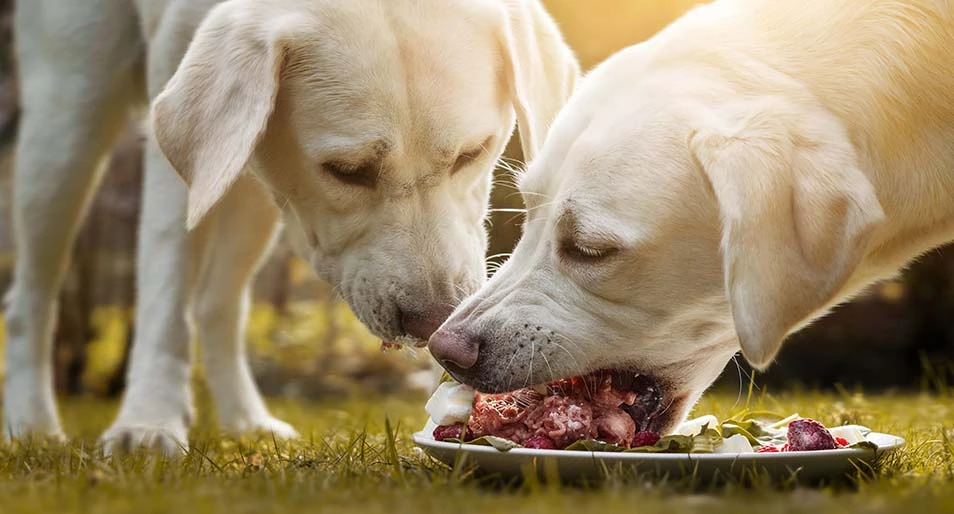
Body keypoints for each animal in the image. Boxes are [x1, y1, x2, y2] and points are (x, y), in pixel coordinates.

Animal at [3, 0, 576, 452]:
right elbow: (166, 287)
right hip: (69, 117)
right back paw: (31, 423)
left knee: (217, 304)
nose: (433, 322)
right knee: (31, 295)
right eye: (347, 171)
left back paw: (245, 419)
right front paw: (148, 421)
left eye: (470, 154)